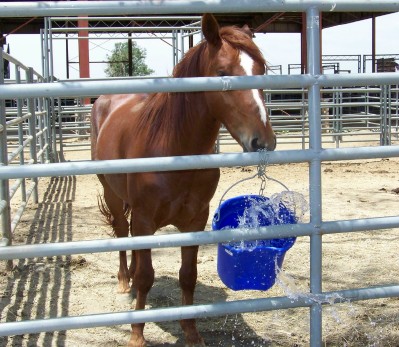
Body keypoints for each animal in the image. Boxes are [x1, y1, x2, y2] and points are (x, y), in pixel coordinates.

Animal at [91, 13, 276, 347]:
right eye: (222, 73)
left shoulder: (195, 221)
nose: (263, 141)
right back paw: (125, 283)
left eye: (261, 71)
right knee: (122, 234)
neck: (174, 149)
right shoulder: (144, 219)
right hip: (113, 195)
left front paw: (191, 332)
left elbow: (187, 275)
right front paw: (137, 334)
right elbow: (146, 277)